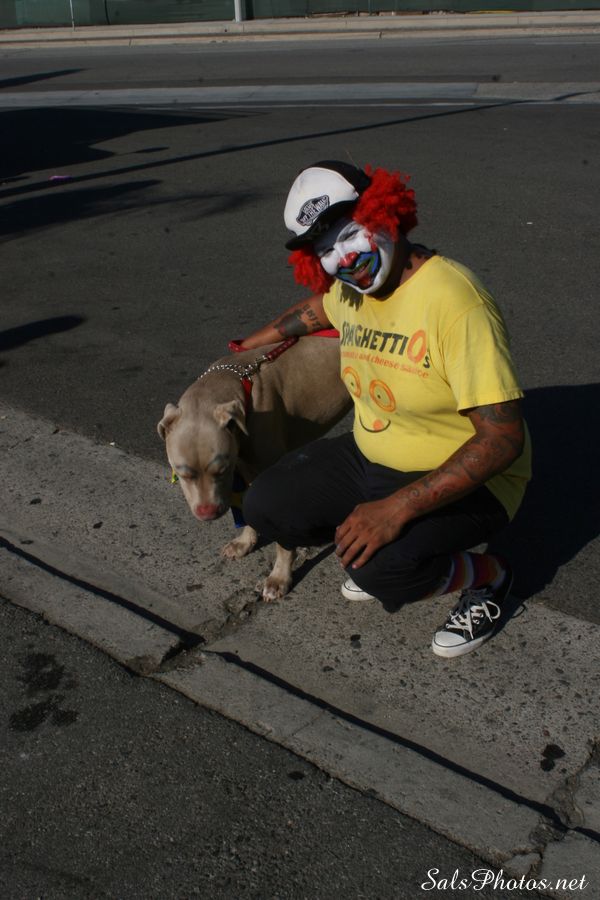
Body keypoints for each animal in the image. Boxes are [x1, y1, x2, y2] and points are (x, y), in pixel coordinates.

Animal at [157, 336, 351, 601]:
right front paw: (245, 542)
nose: (208, 513)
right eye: (183, 473)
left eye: (221, 470)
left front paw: (279, 577)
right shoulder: (245, 467)